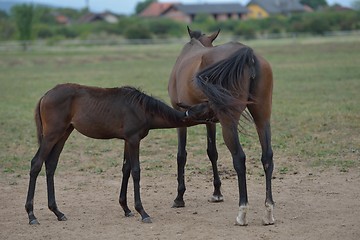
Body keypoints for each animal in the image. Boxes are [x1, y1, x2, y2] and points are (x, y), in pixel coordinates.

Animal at [26, 83, 217, 225]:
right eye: (211, 108)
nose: (220, 118)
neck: (142, 108)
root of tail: (45, 95)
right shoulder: (133, 140)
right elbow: (136, 172)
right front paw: (142, 212)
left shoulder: (127, 140)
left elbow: (126, 169)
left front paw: (126, 208)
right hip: (52, 134)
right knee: (36, 163)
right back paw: (31, 215)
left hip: (64, 133)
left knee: (51, 165)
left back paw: (57, 212)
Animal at [167, 27, 274, 226]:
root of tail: (248, 55)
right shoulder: (210, 122)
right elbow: (212, 153)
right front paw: (217, 193)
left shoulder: (180, 116)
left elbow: (181, 155)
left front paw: (179, 197)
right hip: (262, 118)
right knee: (267, 157)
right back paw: (268, 211)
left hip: (229, 123)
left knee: (239, 158)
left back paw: (242, 212)